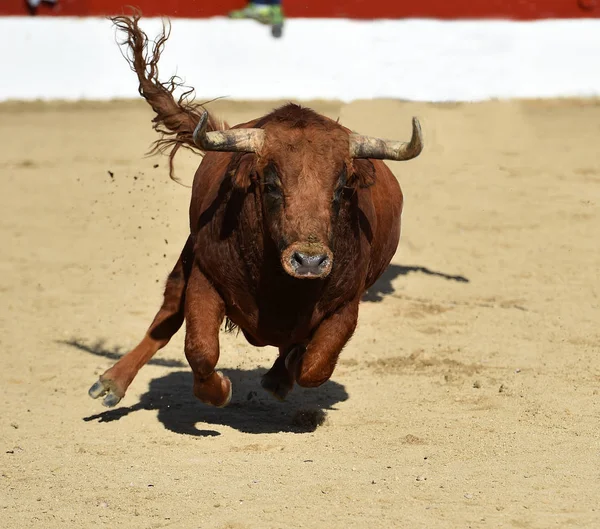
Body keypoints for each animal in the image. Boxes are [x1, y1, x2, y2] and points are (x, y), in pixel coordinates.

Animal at [89, 12, 424, 408]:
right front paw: (220, 391)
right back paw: (113, 381)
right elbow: (200, 349)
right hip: (187, 258)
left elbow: (314, 366)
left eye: (342, 188)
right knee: (168, 314)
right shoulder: (205, 278)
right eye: (270, 184)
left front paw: (280, 378)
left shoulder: (347, 304)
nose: (309, 261)